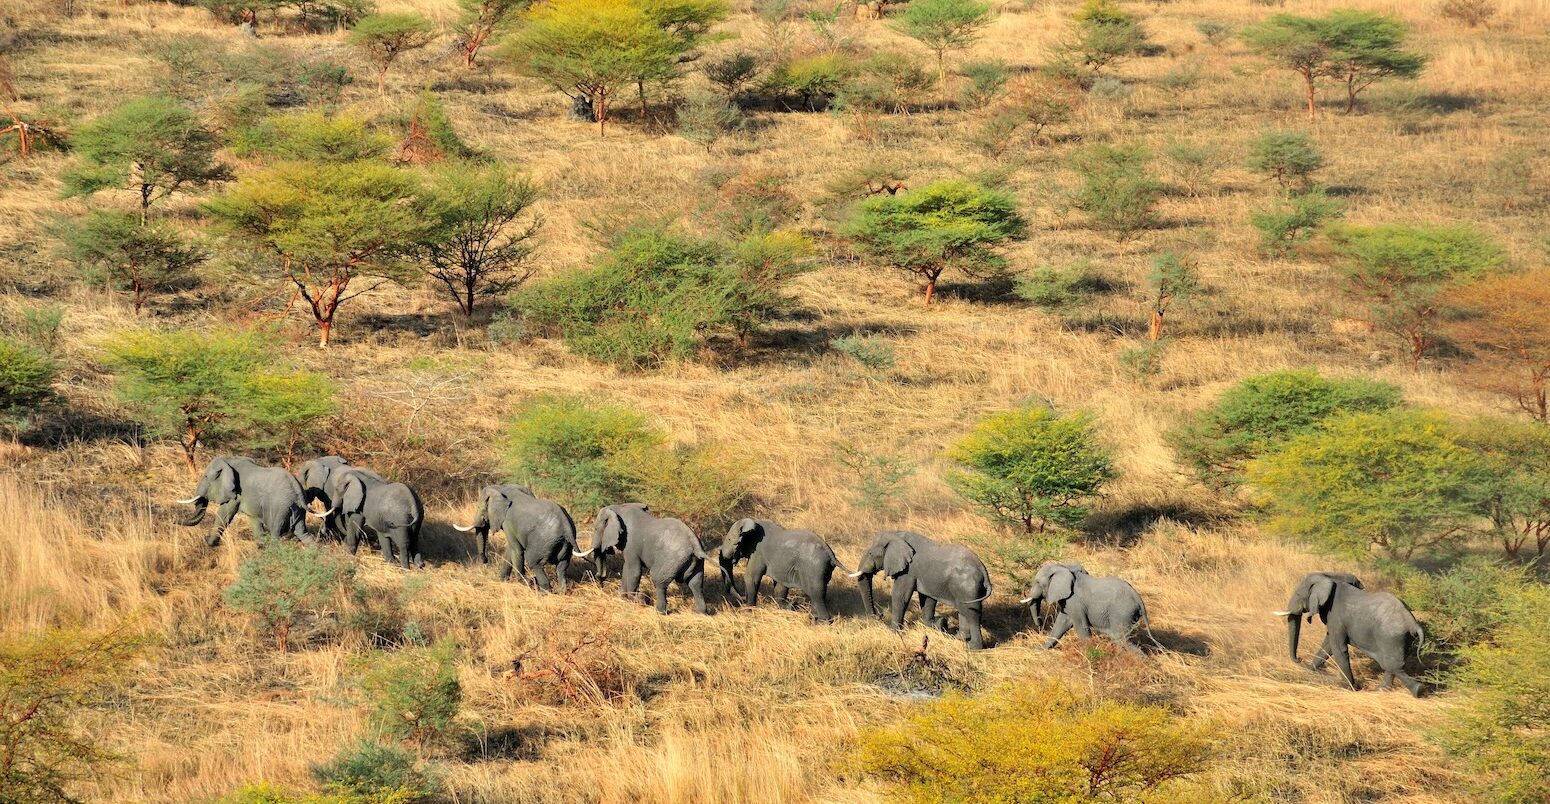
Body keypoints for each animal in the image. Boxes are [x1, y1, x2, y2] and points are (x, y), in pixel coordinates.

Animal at [455, 483, 589, 591]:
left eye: (479, 508)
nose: (485, 560)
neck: (500, 488)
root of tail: (566, 526)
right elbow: (510, 550)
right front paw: (501, 580)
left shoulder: (508, 521)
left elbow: (516, 550)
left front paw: (522, 583)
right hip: (565, 545)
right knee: (562, 567)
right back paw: (561, 592)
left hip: (543, 542)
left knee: (535, 563)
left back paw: (542, 592)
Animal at [719, 520, 855, 625]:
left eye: (729, 539)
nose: (742, 597)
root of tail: (830, 553)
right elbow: (780, 584)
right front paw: (789, 607)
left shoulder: (757, 552)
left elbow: (751, 577)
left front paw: (748, 611)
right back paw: (812, 618)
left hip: (815, 567)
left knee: (816, 592)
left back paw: (822, 623)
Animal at [849, 532, 992, 650]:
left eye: (870, 554)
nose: (880, 616)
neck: (896, 535)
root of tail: (983, 569)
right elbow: (927, 598)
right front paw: (941, 624)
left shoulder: (908, 571)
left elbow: (900, 596)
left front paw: (894, 634)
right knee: (964, 611)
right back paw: (958, 638)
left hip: (967, 586)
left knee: (972, 614)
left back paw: (972, 648)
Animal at [1022, 560, 1159, 653]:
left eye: (1038, 582)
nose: (1040, 624)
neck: (1064, 567)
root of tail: (1138, 598)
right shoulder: (1069, 603)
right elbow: (1061, 624)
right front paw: (1039, 650)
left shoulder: (1075, 601)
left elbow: (1081, 627)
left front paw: (1088, 653)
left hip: (1122, 612)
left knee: (1121, 639)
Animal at [1271, 573, 1426, 697]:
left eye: (1298, 594)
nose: (1300, 659)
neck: (1330, 576)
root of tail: (1412, 622)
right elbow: (1328, 644)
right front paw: (1311, 669)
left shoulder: (1335, 615)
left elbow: (1338, 648)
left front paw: (1349, 688)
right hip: (1403, 638)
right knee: (1392, 665)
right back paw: (1382, 690)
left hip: (1390, 637)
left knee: (1392, 665)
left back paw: (1418, 691)